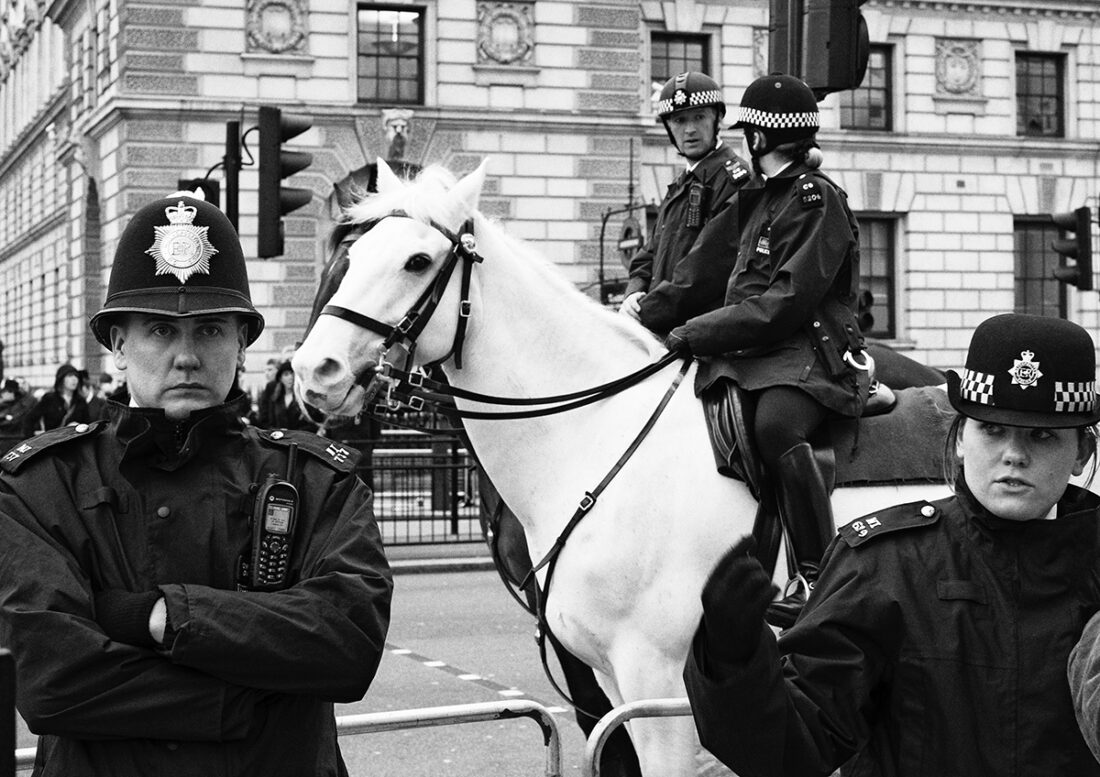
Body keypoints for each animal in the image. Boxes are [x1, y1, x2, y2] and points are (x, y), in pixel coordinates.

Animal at [294, 158, 954, 774]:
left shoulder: (658, 684)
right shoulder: (610, 681)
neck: (593, 435)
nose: (313, 371)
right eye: (351, 256)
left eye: (417, 261)